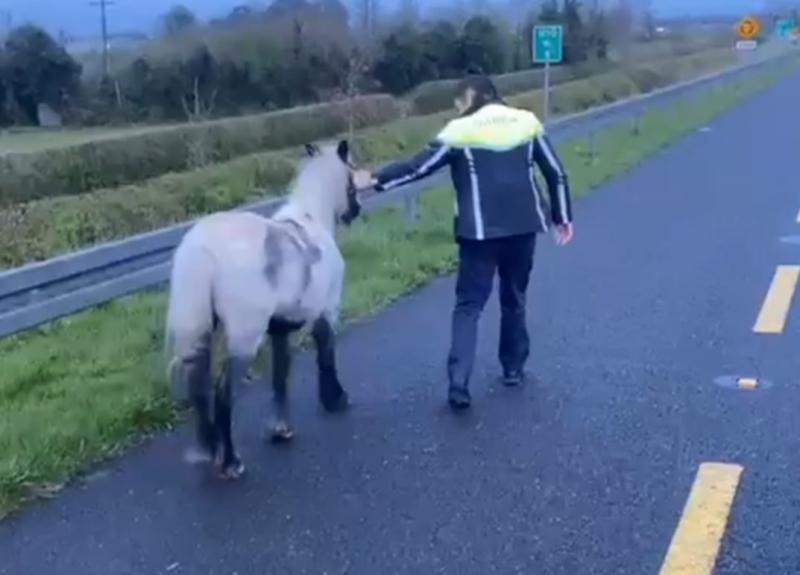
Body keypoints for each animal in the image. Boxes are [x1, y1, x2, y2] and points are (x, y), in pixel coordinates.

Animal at [164, 139, 362, 479]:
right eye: (351, 176)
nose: (356, 210)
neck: (313, 219)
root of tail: (201, 248)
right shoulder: (325, 312)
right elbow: (326, 354)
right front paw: (335, 398)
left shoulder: (279, 328)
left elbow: (281, 374)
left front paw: (280, 428)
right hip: (244, 338)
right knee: (223, 393)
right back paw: (231, 462)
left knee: (200, 390)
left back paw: (211, 451)